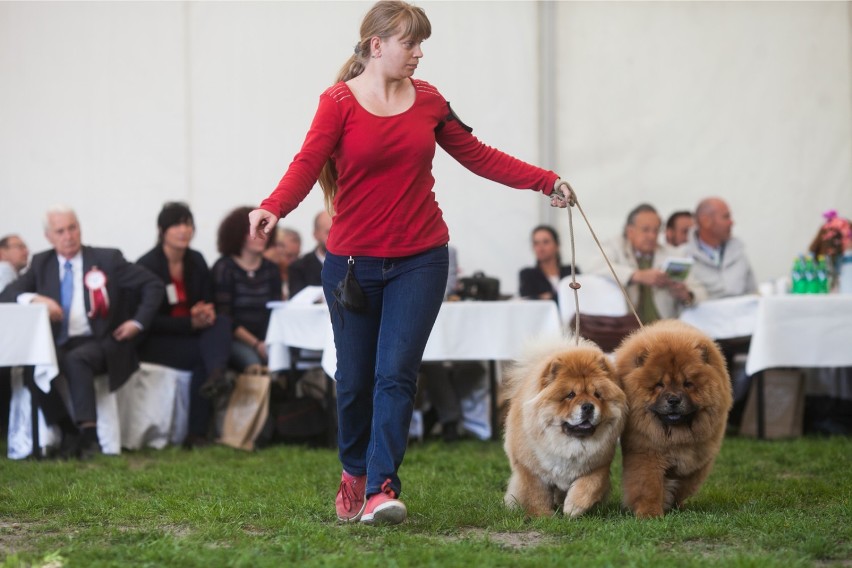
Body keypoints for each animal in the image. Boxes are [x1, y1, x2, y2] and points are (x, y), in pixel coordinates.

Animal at [502, 338, 628, 520]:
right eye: (570, 395)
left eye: (597, 395)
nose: (588, 406)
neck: (568, 445)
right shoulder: (531, 470)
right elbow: (535, 494)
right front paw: (543, 516)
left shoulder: (598, 465)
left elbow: (589, 486)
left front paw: (573, 507)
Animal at [612, 320, 732, 520]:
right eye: (659, 385)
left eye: (688, 384)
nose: (674, 400)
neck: (676, 435)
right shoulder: (646, 454)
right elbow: (649, 487)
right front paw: (650, 513)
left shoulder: (698, 459)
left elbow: (685, 485)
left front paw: (675, 504)